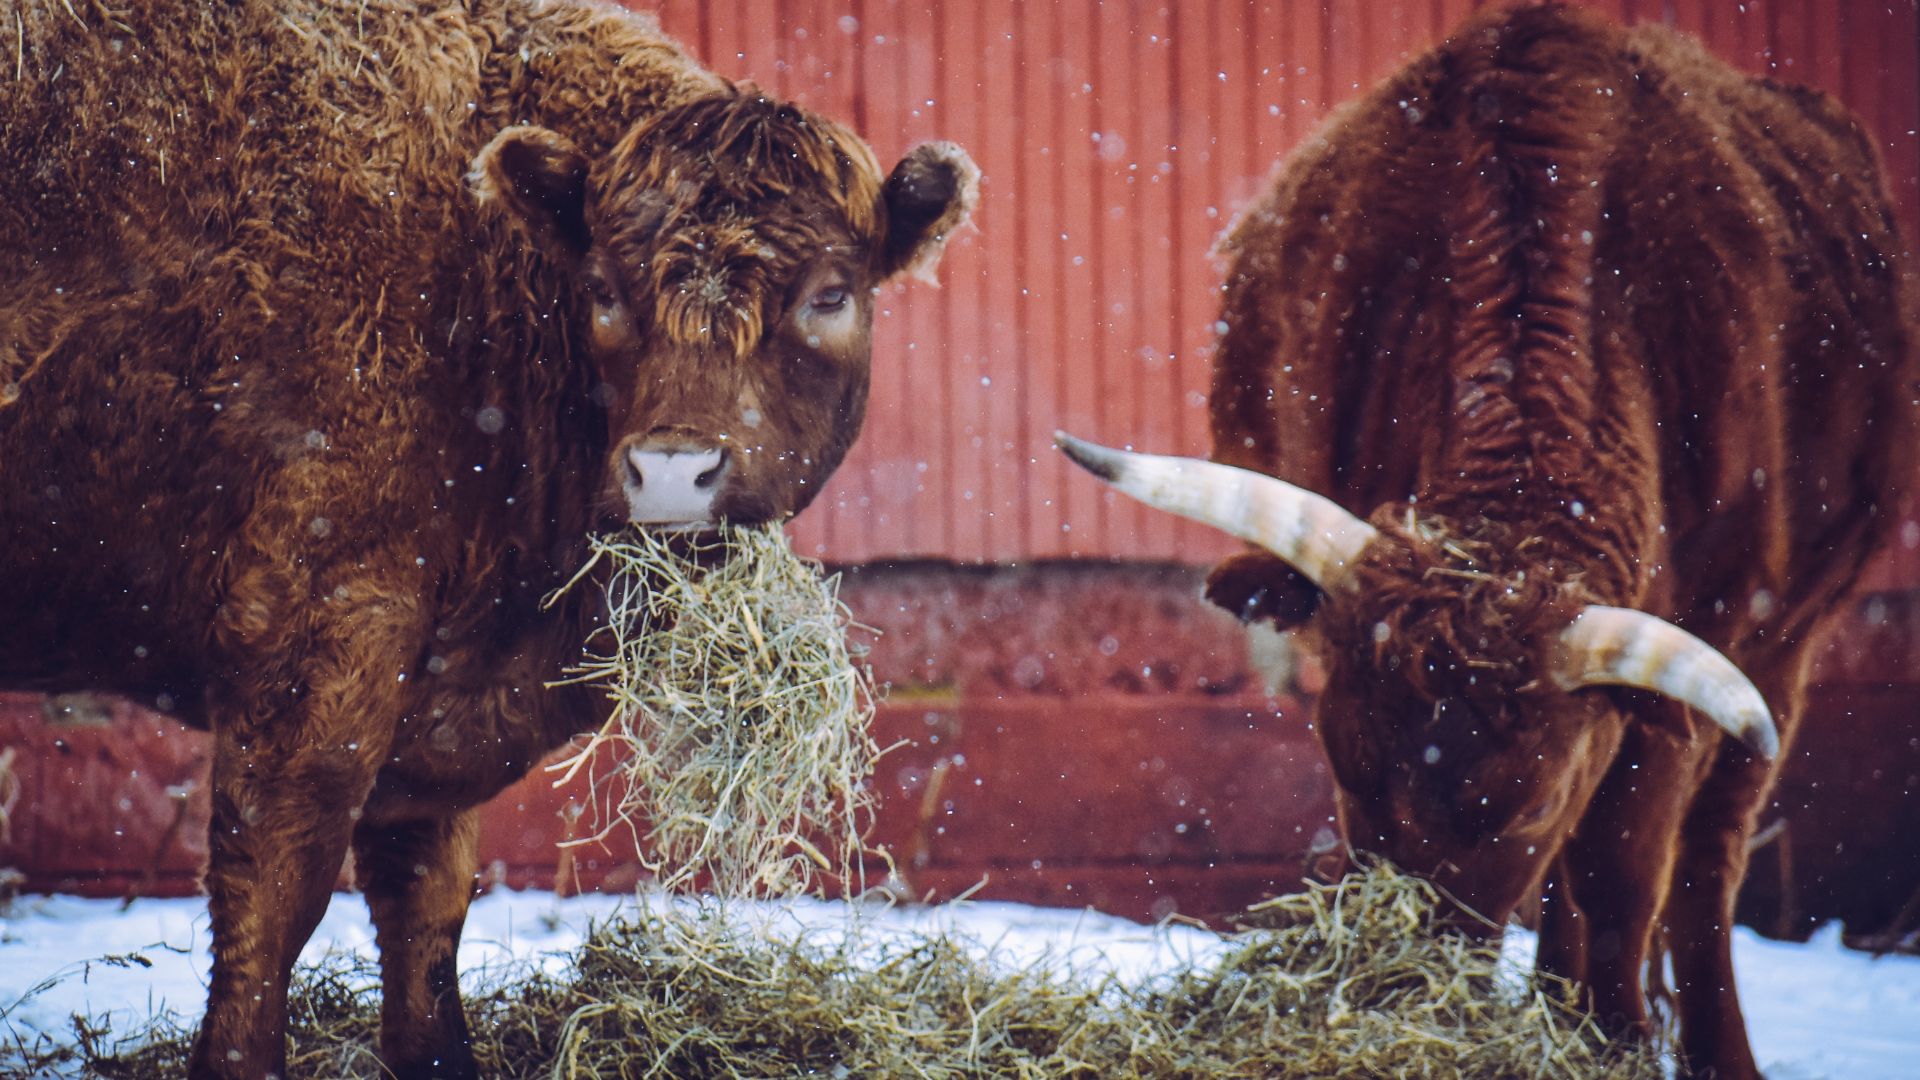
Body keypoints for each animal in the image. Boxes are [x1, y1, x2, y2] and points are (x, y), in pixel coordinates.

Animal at [0, 2, 983, 1076]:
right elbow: (274, 900)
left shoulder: (427, 704)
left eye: (830, 294)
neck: (480, 278)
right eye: (602, 288)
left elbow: (427, 915)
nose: (671, 470)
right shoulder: (318, 642)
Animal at [1059, 4, 1912, 1068]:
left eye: (1529, 804)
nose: (1401, 989)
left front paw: (1613, 1042)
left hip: (1787, 653)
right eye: (1345, 765)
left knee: (1704, 863)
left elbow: (1624, 869)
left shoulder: (1691, 669)